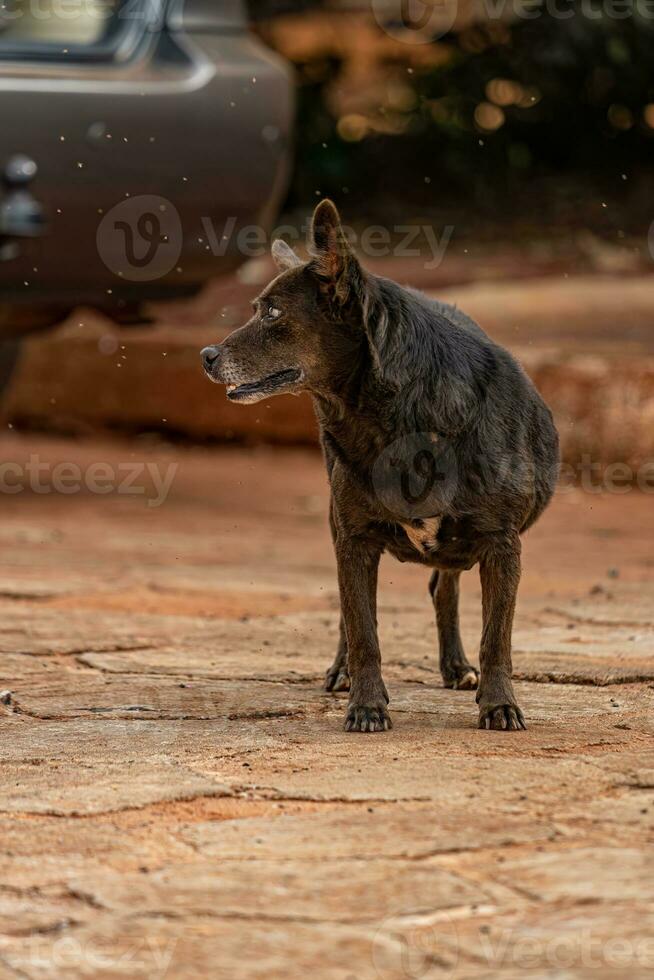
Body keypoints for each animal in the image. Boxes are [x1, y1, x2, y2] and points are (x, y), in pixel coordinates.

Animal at [202, 203, 560, 732]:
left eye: (272, 313)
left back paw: (456, 667)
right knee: (356, 612)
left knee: (444, 585)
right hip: (339, 526)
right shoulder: (353, 539)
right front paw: (367, 705)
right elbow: (363, 629)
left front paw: (499, 704)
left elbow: (497, 637)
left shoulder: (502, 545)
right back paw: (343, 670)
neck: (400, 418)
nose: (205, 355)